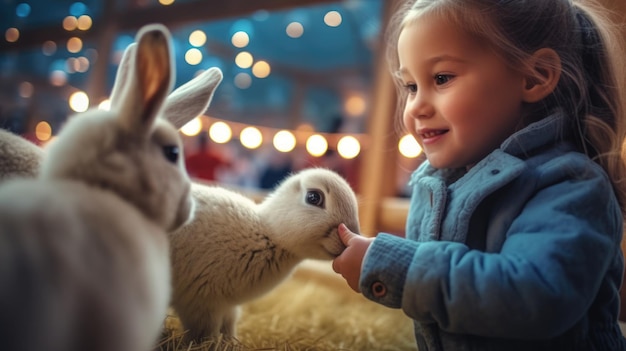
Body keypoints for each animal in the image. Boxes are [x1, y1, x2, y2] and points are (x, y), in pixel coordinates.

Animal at [169, 168, 360, 344]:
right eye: (313, 197)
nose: (350, 237)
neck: (268, 232)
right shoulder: (201, 304)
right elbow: (204, 336)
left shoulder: (225, 306)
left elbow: (228, 327)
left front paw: (231, 343)